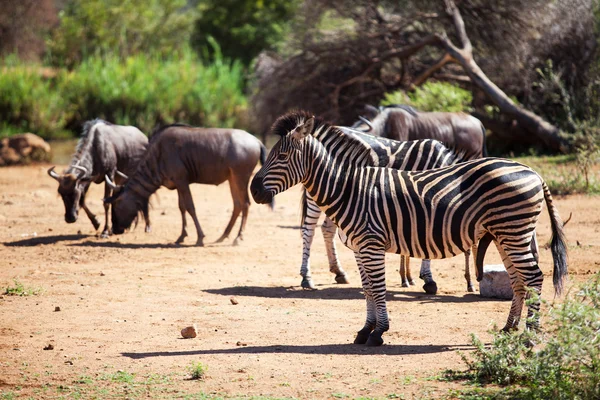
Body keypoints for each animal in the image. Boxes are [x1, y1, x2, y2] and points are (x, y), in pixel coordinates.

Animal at [302, 126, 480, 292]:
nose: (476, 281)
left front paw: (409, 277)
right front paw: (426, 279)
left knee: (327, 229)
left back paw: (339, 272)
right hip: (318, 195)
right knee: (308, 230)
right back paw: (306, 277)